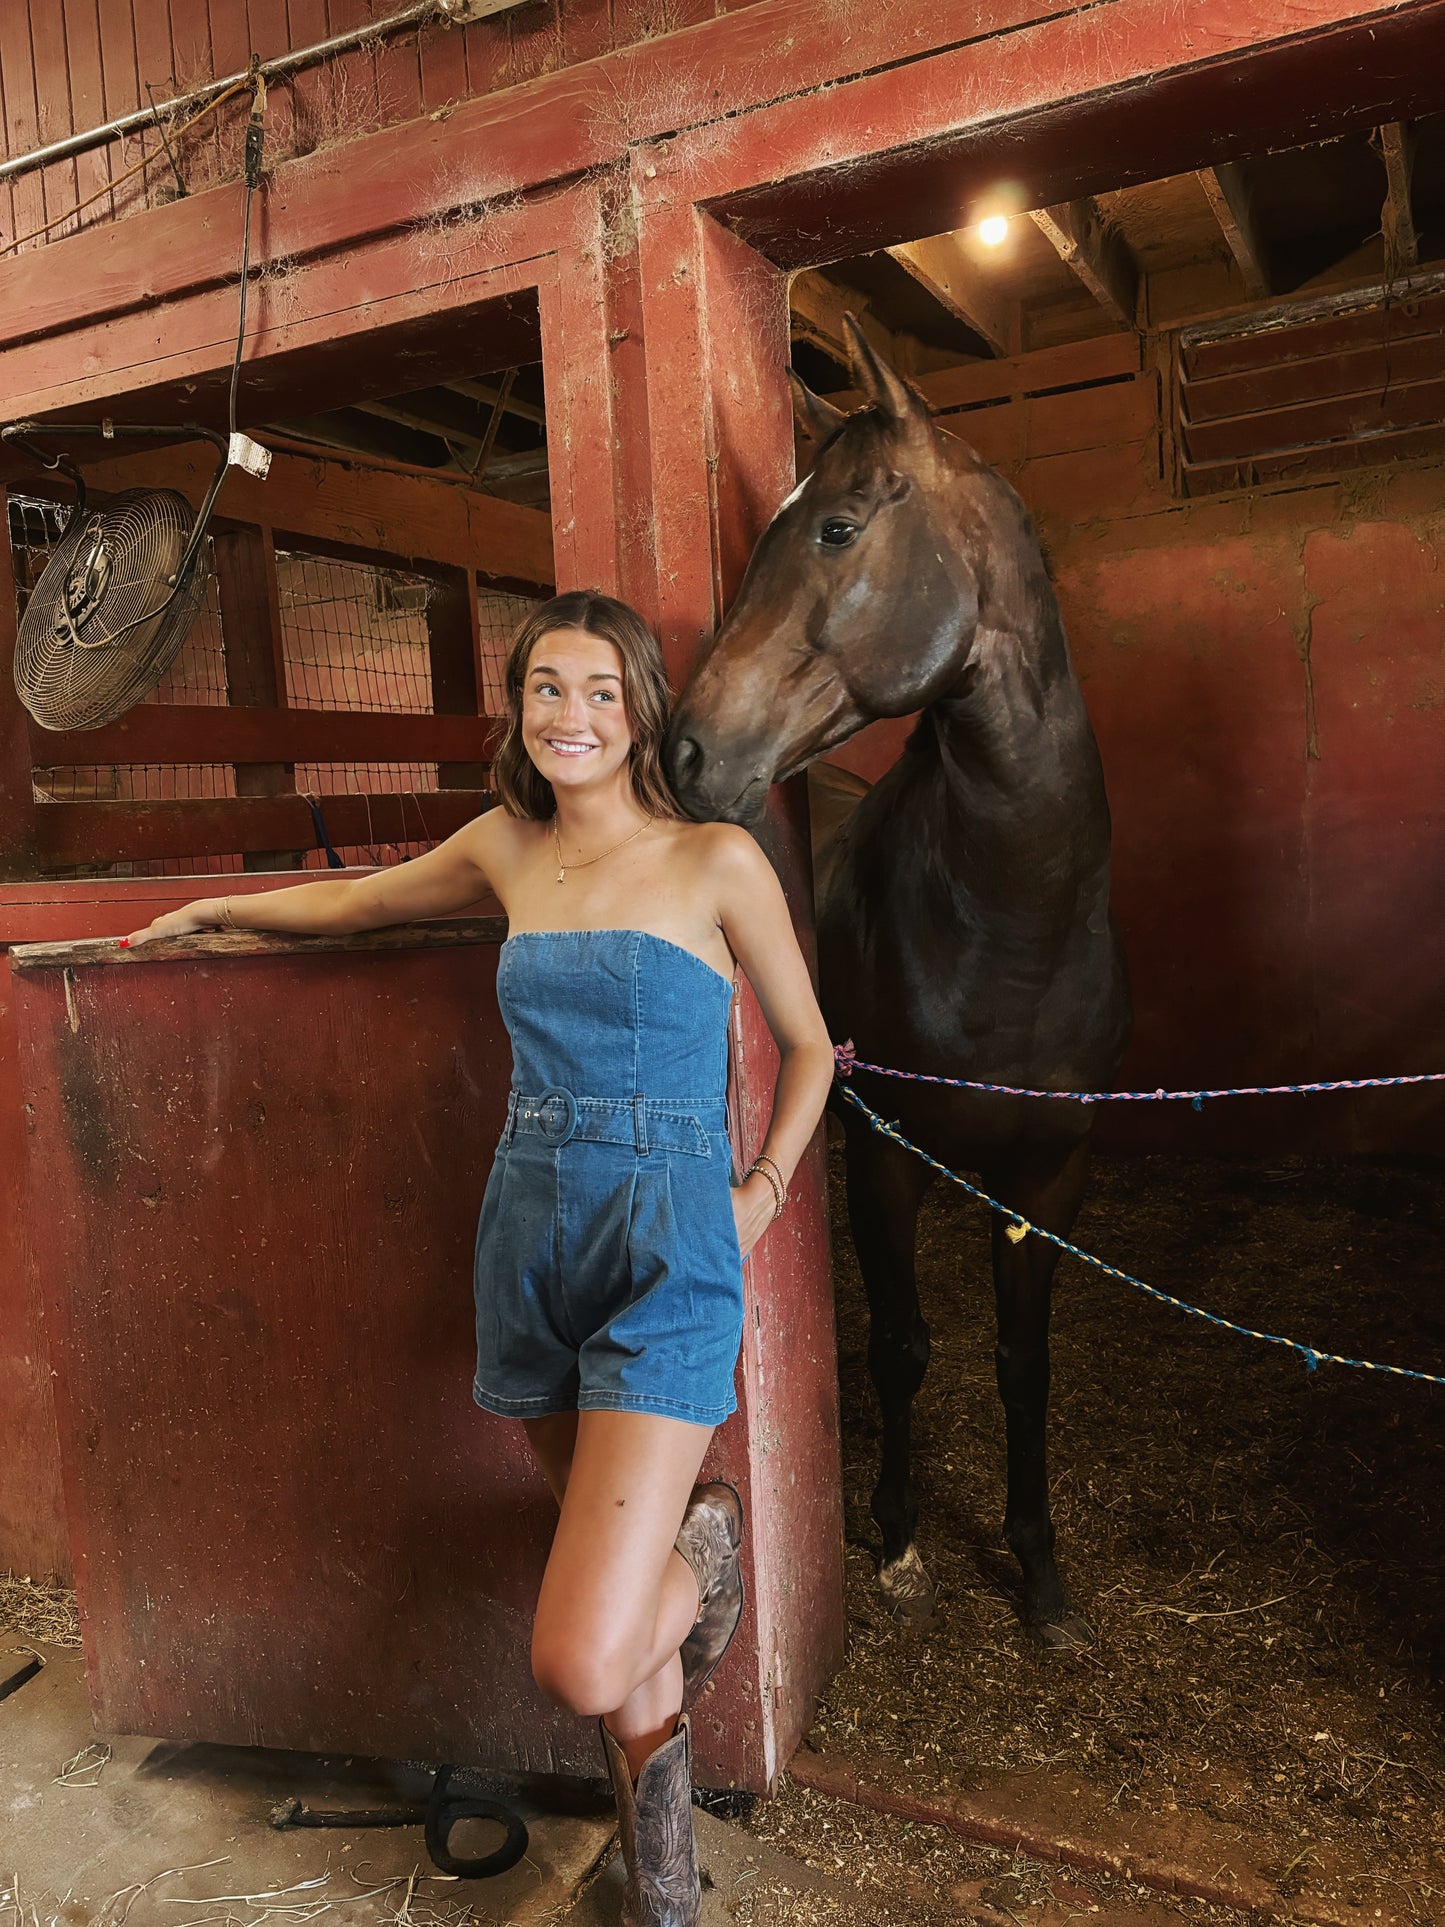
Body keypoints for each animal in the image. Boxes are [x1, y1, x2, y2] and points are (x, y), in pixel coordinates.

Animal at [666, 316, 1132, 1641]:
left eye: (834, 527)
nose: (683, 749)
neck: (1013, 926)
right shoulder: (883, 1153)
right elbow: (901, 1344)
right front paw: (893, 1532)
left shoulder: (1050, 1171)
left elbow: (1022, 1361)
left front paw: (1037, 1572)